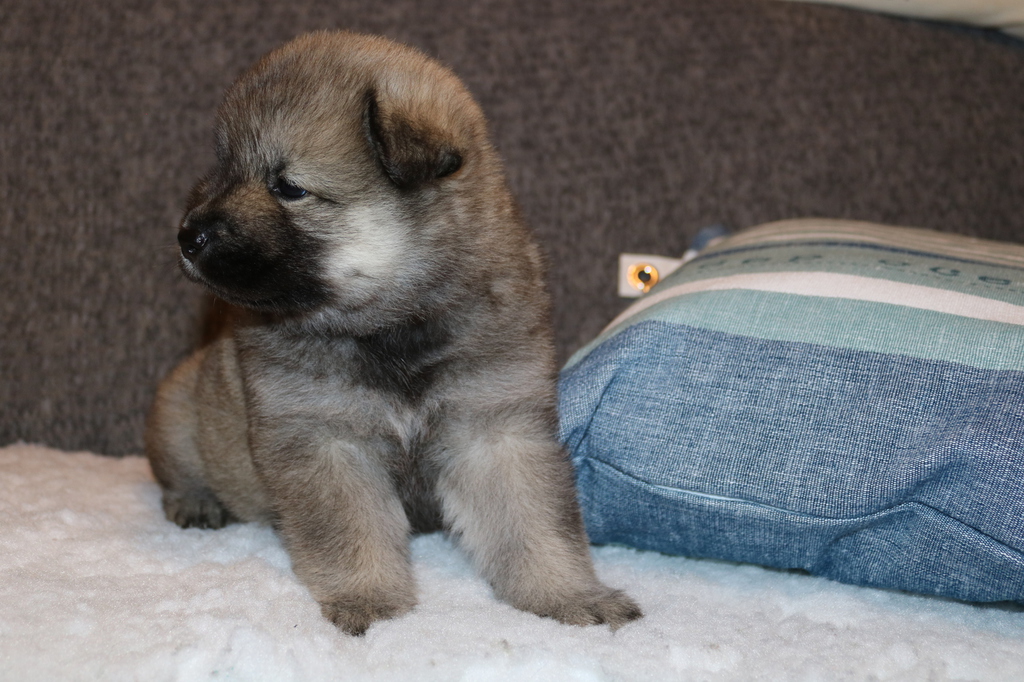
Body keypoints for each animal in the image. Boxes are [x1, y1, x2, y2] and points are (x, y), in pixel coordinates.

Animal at [145, 31, 642, 635]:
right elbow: (354, 531)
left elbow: (536, 525)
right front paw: (370, 597)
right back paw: (195, 502)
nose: (187, 236)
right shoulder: (324, 439)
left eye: (288, 187)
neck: (394, 325)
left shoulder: (497, 426)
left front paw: (568, 594)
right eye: (222, 172)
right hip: (178, 405)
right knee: (177, 470)